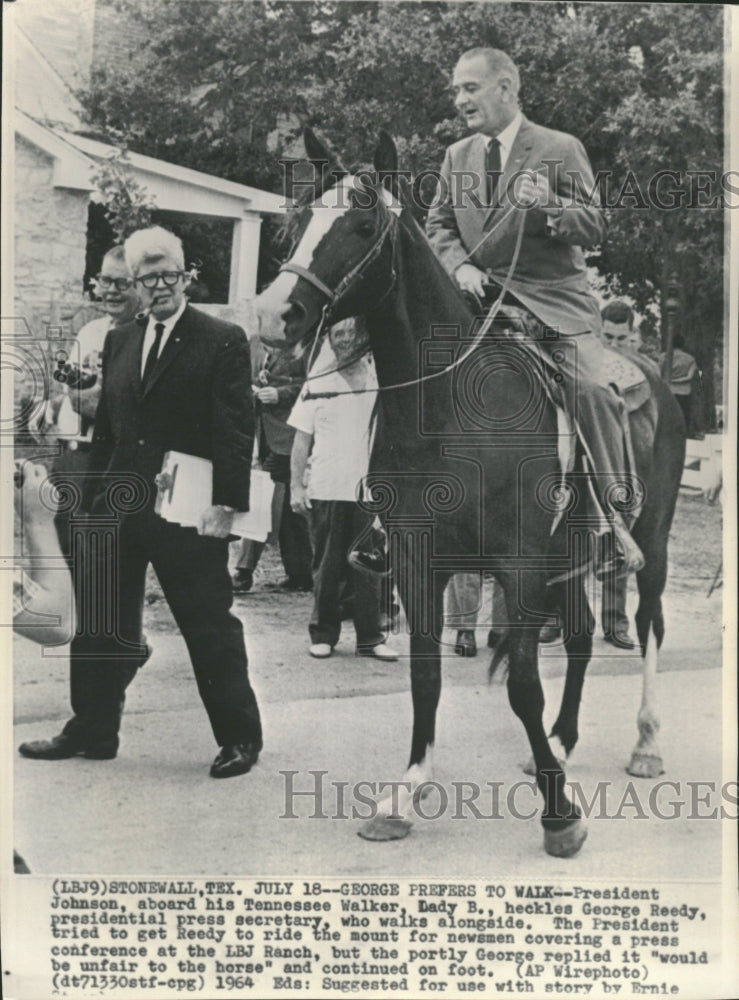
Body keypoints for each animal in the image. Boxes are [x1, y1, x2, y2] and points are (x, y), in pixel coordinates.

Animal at [256, 129, 688, 856]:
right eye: (299, 221)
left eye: (362, 225)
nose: (274, 315)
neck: (451, 408)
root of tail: (653, 376)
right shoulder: (415, 558)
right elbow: (425, 677)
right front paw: (403, 794)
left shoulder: (516, 562)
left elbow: (522, 687)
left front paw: (560, 816)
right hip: (568, 550)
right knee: (577, 639)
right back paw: (561, 744)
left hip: (646, 542)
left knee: (649, 623)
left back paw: (647, 743)